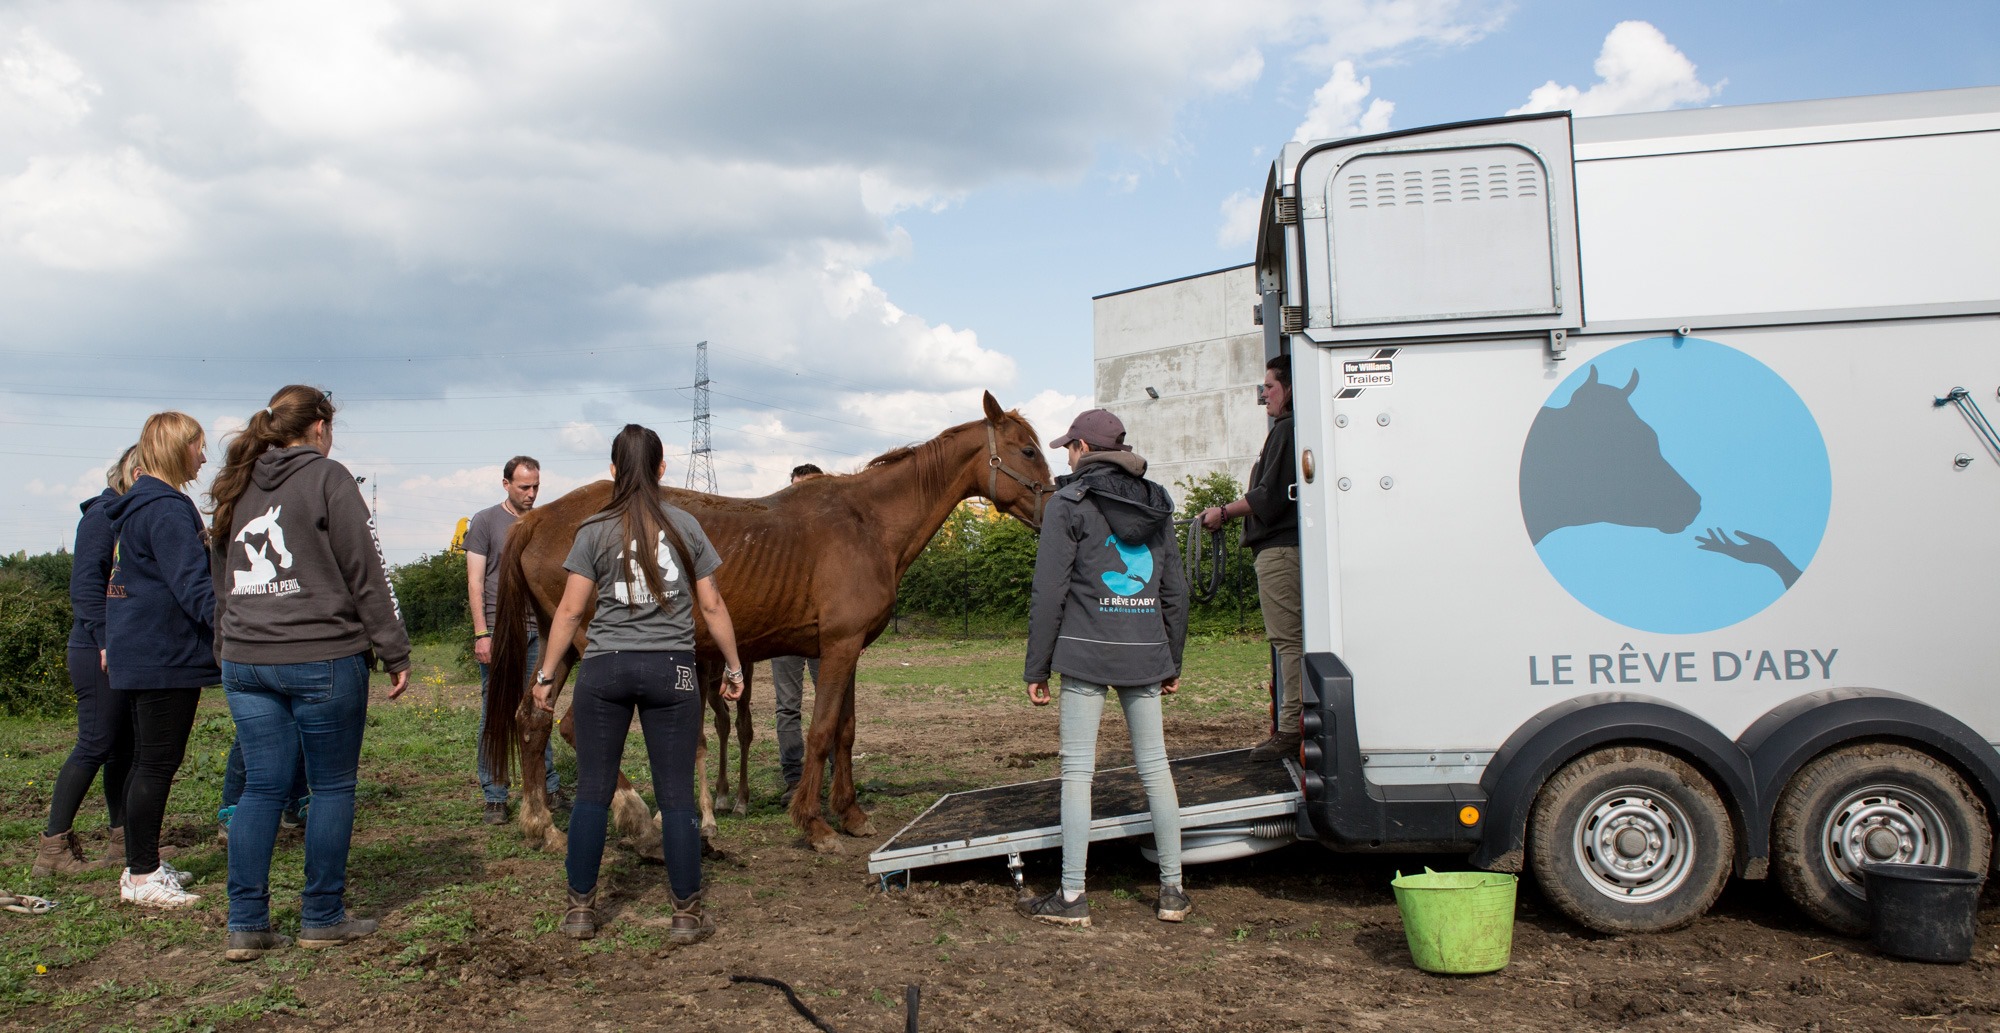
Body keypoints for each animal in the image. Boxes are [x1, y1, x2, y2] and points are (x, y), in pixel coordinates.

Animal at [482, 392, 1056, 852]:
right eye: (1027, 451)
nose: (1053, 509)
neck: (868, 522)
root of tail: (538, 516)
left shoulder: (844, 650)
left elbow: (845, 731)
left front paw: (850, 814)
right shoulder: (840, 647)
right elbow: (821, 731)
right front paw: (814, 824)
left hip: (559, 644)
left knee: (532, 721)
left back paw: (544, 828)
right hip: (593, 647)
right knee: (570, 725)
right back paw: (636, 817)